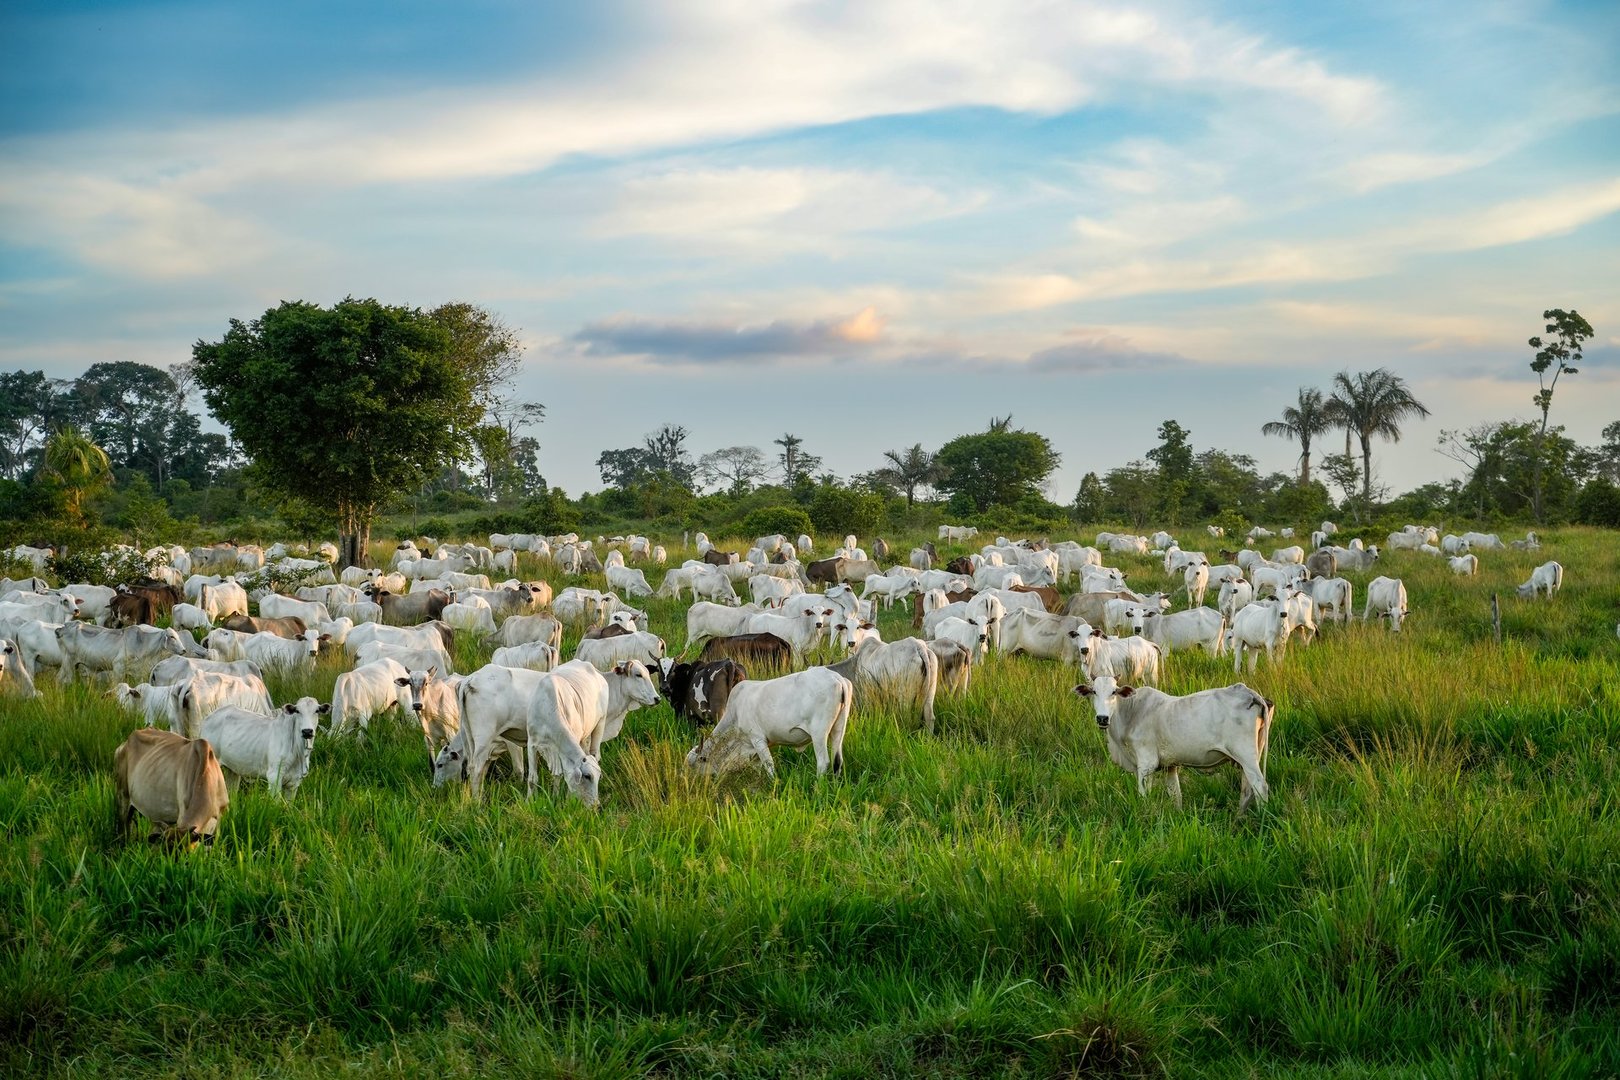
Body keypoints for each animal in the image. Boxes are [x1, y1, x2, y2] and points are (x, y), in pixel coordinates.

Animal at [686, 667, 853, 779]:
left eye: (693, 766)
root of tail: (836, 678)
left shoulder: (757, 739)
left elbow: (769, 766)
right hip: (839, 728)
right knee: (838, 761)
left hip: (819, 733)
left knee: (823, 762)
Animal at [1074, 676, 1272, 812]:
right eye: (1093, 691)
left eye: (1114, 692)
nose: (1102, 718)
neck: (1131, 712)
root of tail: (1249, 692)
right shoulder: (1170, 765)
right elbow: (1175, 794)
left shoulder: (1146, 765)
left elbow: (1144, 795)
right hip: (1249, 756)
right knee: (1247, 789)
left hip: (1246, 755)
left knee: (1260, 786)